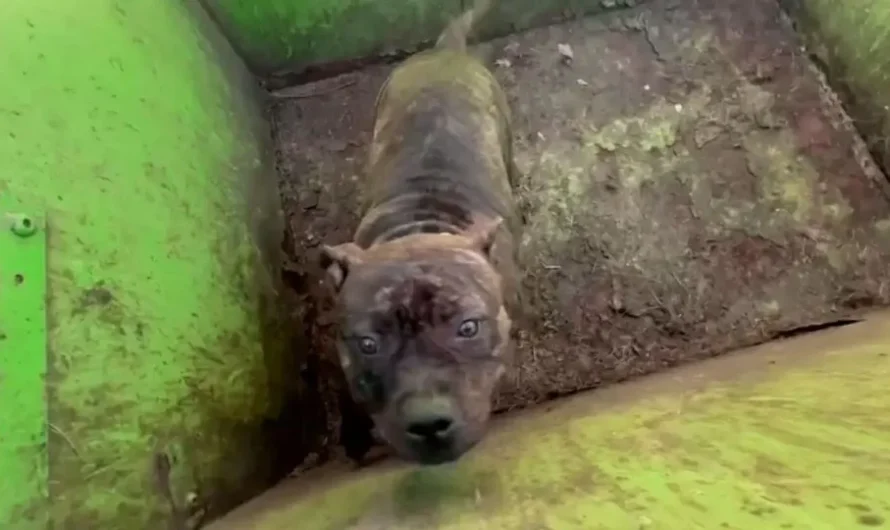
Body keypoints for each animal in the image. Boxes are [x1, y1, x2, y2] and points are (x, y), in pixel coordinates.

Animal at [320, 0, 516, 462]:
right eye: (368, 344)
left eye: (468, 328)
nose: (428, 423)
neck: (421, 225)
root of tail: (445, 52)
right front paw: (354, 437)